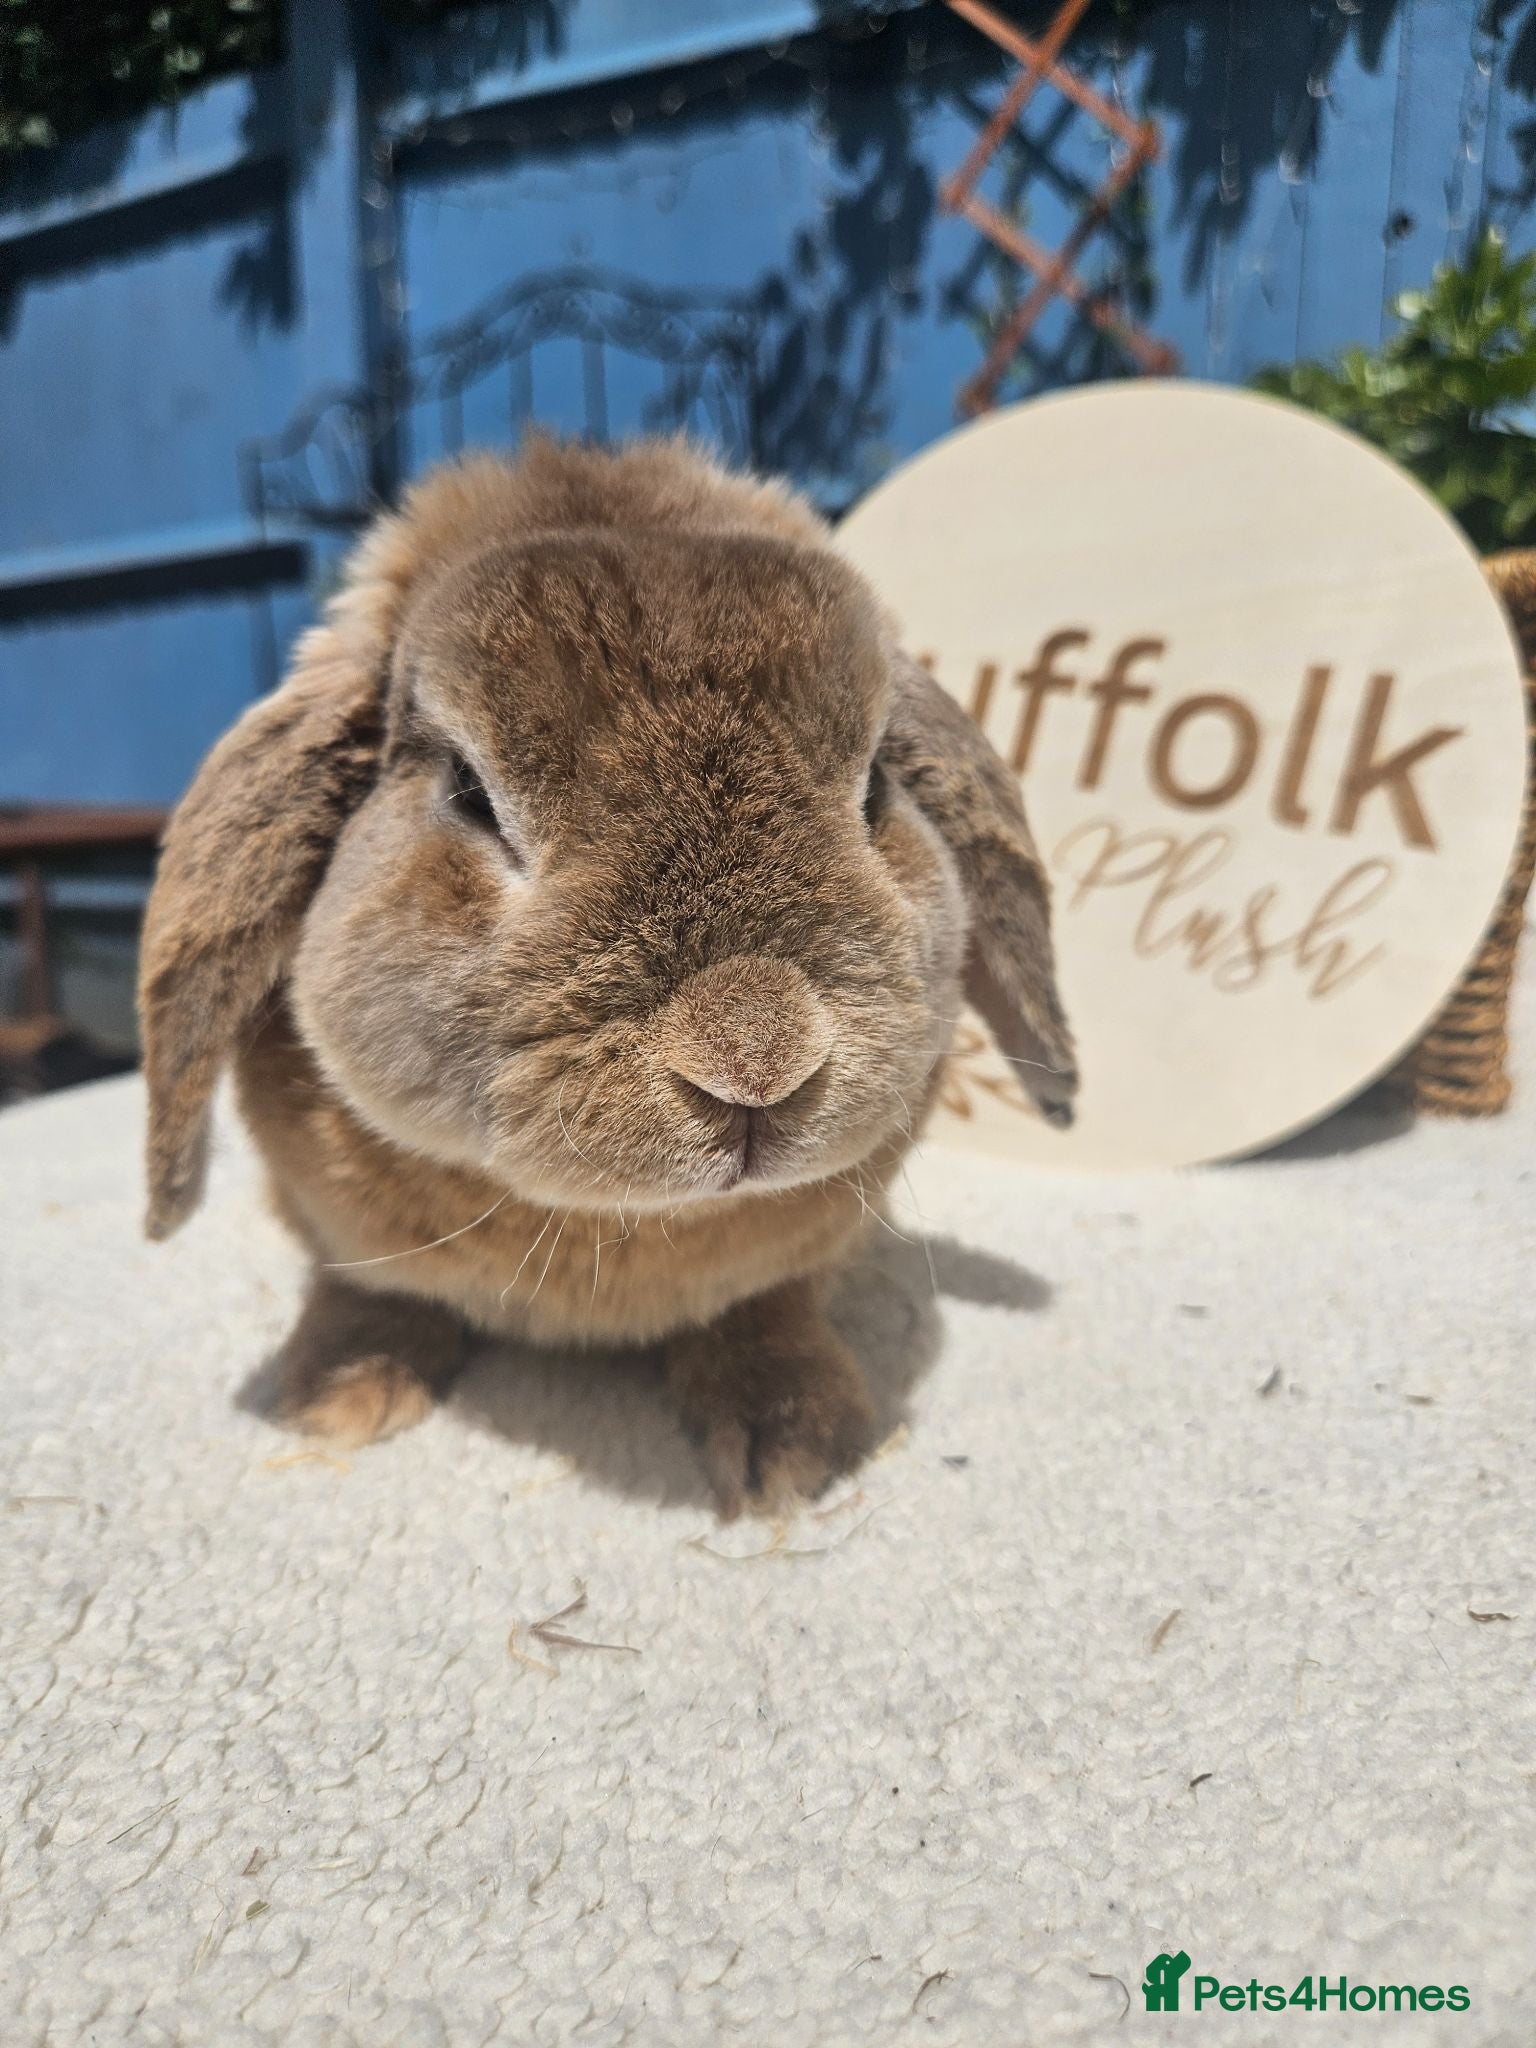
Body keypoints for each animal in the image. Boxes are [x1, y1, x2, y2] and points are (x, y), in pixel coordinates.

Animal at [138, 435, 1075, 1516]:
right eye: (468, 791)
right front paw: (338, 1395)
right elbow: (368, 1284)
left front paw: (792, 1442)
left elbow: (763, 1312)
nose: (756, 1062)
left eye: (877, 783)